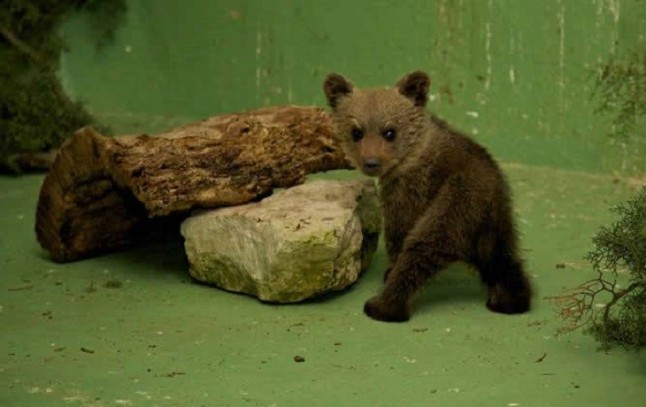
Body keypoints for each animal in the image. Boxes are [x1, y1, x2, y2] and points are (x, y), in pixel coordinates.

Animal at [323, 70, 532, 322]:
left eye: (389, 131)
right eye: (356, 131)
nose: (371, 162)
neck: (410, 155)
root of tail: (488, 202)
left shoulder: (408, 190)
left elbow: (399, 231)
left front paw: (390, 269)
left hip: (454, 206)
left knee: (422, 247)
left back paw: (382, 306)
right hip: (499, 225)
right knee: (505, 261)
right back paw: (509, 299)